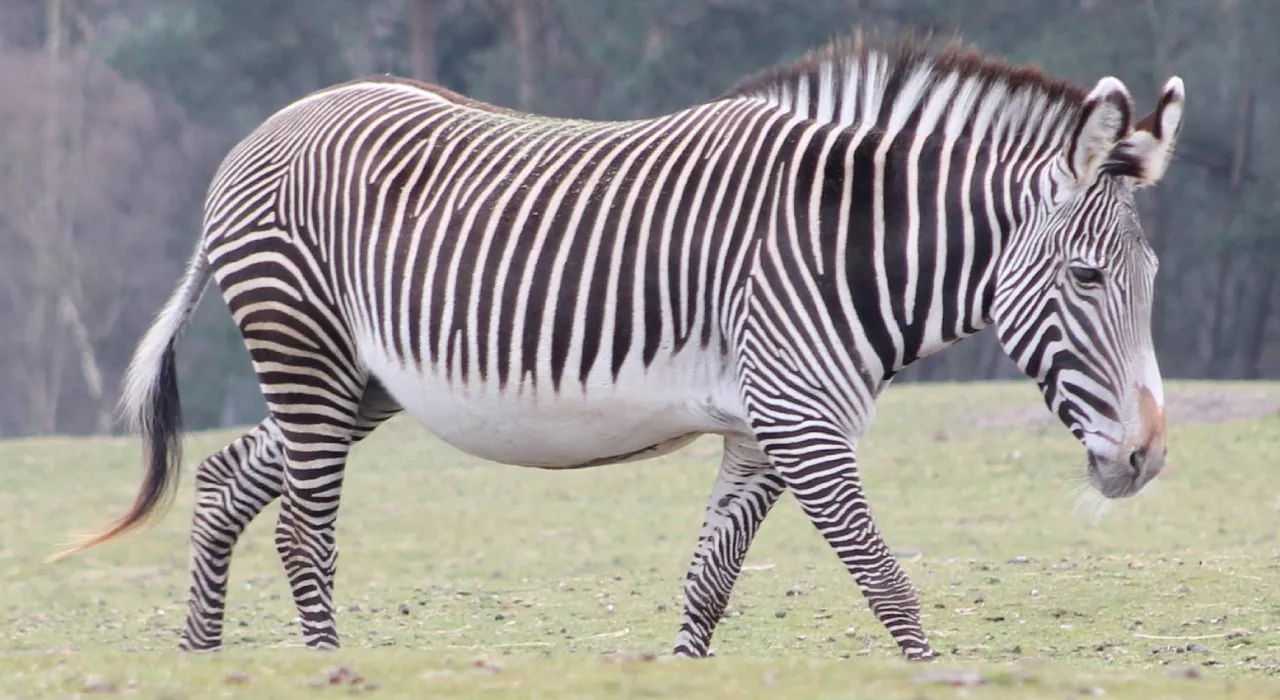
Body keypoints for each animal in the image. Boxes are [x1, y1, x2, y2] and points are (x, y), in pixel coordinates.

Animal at [57, 30, 1177, 660]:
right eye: (1086, 280)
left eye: (1153, 279)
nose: (1145, 458)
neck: (837, 246)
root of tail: (255, 138)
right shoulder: (803, 423)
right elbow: (885, 581)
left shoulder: (759, 436)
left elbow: (709, 584)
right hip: (304, 346)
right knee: (301, 530)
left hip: (353, 380)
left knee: (224, 483)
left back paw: (203, 661)